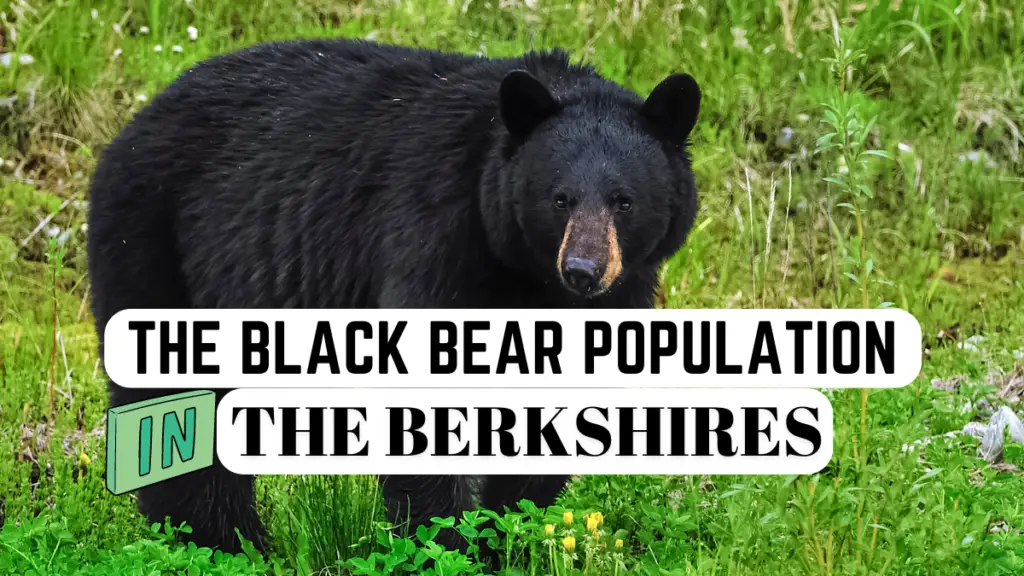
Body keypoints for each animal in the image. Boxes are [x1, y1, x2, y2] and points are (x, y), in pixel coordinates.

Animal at [87, 37, 701, 555]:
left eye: (624, 201)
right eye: (560, 198)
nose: (583, 271)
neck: (526, 276)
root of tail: (135, 121)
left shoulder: (614, 297)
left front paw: (509, 539)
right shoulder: (437, 235)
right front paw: (445, 546)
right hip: (153, 243)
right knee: (172, 403)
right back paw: (216, 542)